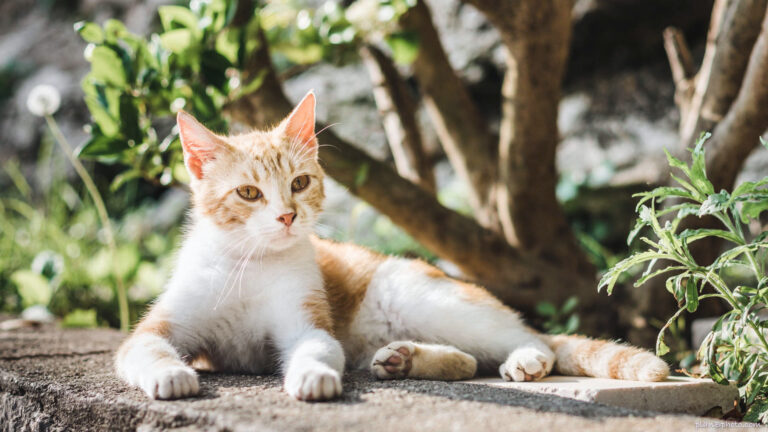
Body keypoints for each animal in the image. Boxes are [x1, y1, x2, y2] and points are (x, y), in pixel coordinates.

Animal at [115, 91, 672, 402]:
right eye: (249, 193)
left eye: (299, 183)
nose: (288, 216)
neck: (250, 264)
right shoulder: (158, 327)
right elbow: (145, 348)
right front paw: (172, 375)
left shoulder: (307, 322)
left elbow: (316, 347)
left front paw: (313, 377)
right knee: (468, 362)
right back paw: (406, 360)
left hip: (424, 298)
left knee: (529, 339)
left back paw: (524, 359)